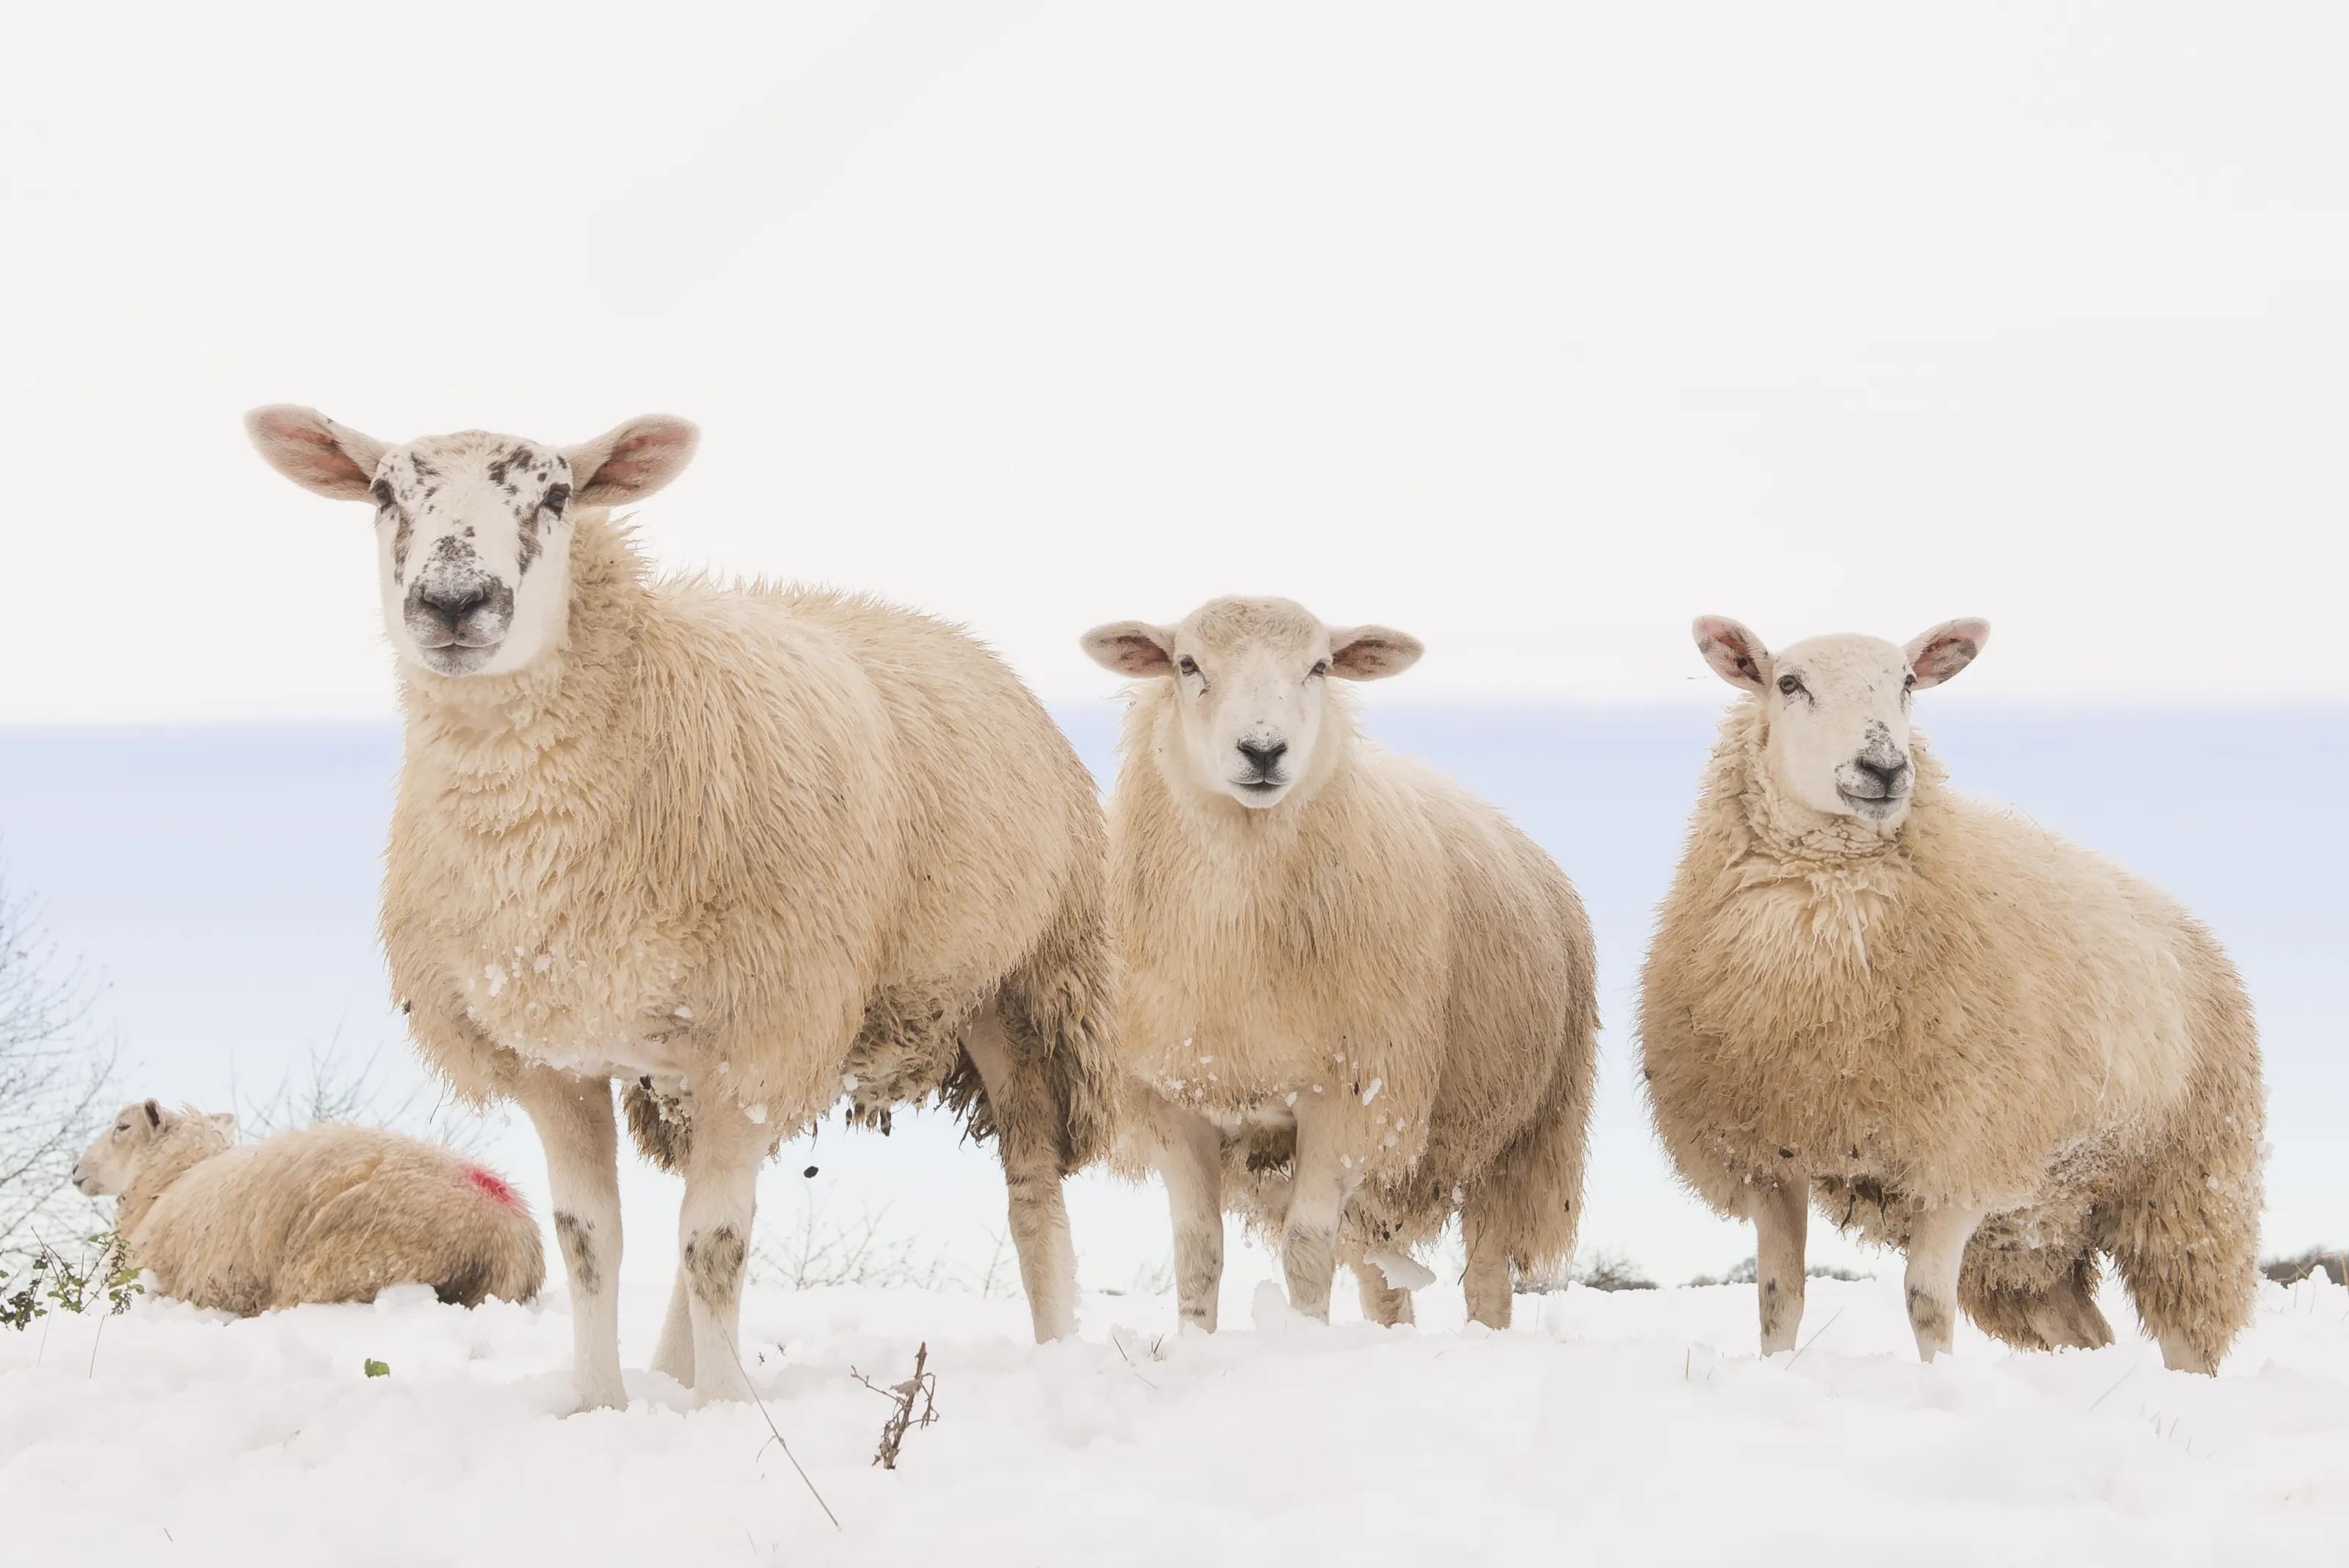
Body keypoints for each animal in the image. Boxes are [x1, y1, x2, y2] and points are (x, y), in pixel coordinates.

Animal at [246, 407, 1118, 1409]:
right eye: (385, 494)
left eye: (558, 494)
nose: (454, 601)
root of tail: (954, 636)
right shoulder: (557, 1058)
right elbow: (591, 1240)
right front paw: (600, 1405)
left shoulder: (758, 1033)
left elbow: (715, 1245)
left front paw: (728, 1412)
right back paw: (674, 1365)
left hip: (1022, 988)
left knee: (1031, 1193)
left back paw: (1057, 1361)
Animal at [1081, 597, 1598, 1330]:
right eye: (1186, 664)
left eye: (1320, 666)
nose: (1263, 750)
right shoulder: (1174, 1099)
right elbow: (1197, 1251)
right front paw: (1194, 1342)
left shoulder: (1349, 1098)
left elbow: (1305, 1248)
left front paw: (1303, 1339)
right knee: (1384, 1283)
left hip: (1521, 1135)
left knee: (1487, 1277)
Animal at [1638, 617, 2264, 1372]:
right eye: (1788, 683)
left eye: (1908, 682)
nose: (1885, 768)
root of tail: (2190, 924)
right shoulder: (1770, 1156)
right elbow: (1777, 1300)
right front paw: (1777, 1372)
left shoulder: (1962, 1152)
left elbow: (1926, 1305)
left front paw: (1938, 1382)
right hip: (2032, 1236)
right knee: (2082, 1330)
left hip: (2187, 1188)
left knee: (2188, 1333)